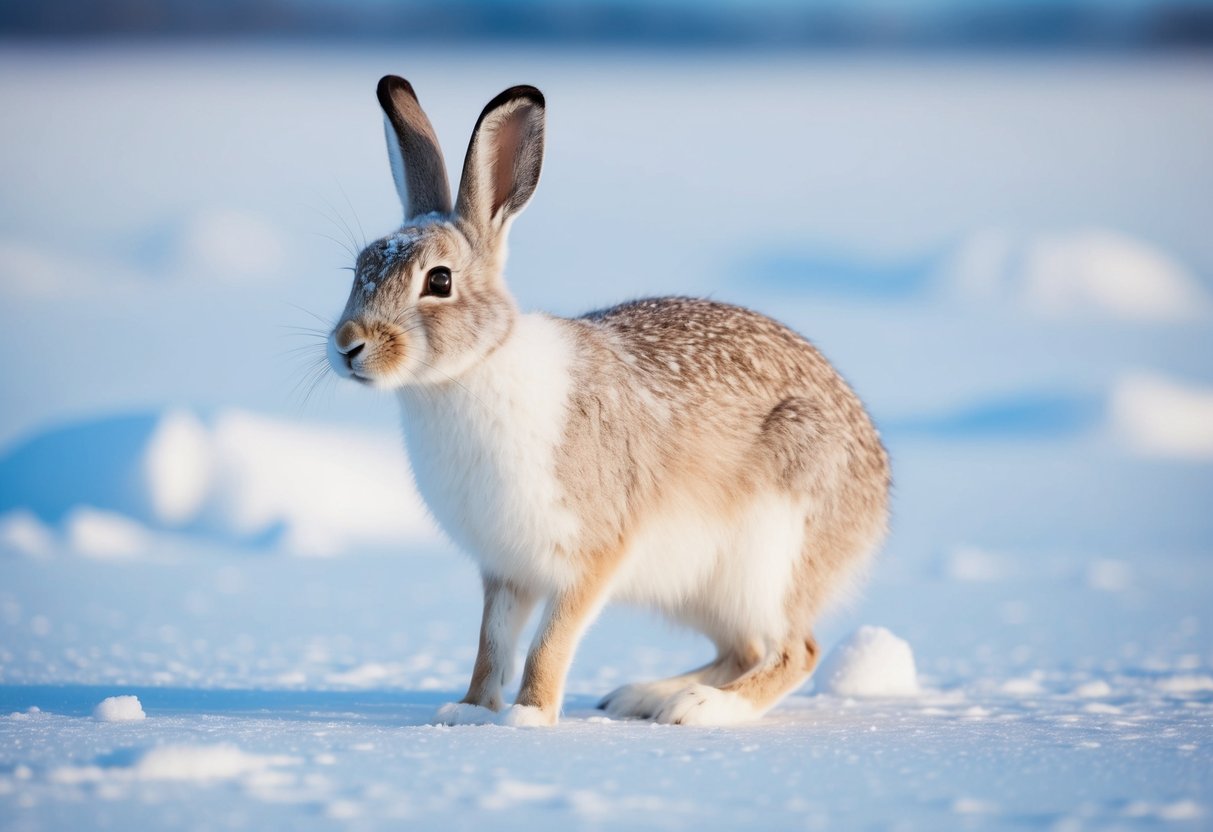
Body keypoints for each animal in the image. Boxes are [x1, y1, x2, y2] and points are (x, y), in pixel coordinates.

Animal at [326, 75, 890, 727]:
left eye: (438, 281)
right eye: (359, 267)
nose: (347, 345)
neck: (476, 367)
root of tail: (878, 493)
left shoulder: (594, 551)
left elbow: (550, 642)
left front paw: (528, 717)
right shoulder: (506, 570)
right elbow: (492, 644)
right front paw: (467, 712)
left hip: (770, 555)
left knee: (796, 650)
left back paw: (701, 707)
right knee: (744, 648)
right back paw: (645, 695)